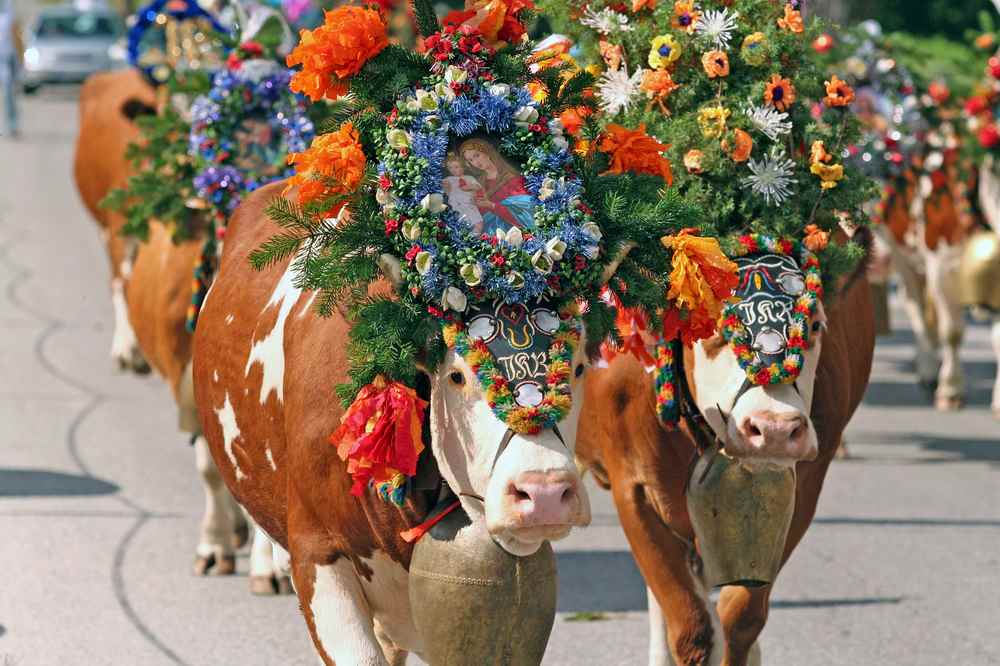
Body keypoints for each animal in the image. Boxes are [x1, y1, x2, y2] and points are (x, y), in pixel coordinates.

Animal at [580, 237, 876, 660]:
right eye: (711, 325)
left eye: (815, 323)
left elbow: (740, 617)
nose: (774, 429)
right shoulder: (632, 486)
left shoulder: (803, 488)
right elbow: (694, 627)